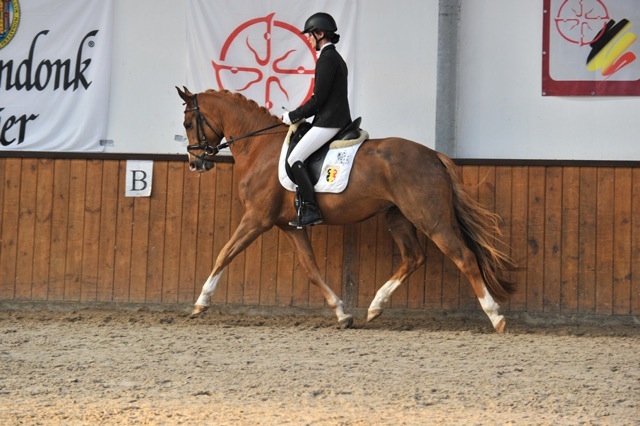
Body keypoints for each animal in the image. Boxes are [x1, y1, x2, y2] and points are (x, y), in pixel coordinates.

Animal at [178, 87, 516, 332]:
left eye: (187, 123)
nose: (196, 163)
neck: (260, 148)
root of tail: (433, 155)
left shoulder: (257, 218)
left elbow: (225, 253)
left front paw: (200, 303)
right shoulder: (288, 225)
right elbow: (311, 269)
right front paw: (341, 313)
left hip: (430, 218)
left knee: (464, 257)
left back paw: (495, 316)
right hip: (397, 216)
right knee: (413, 257)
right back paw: (375, 307)